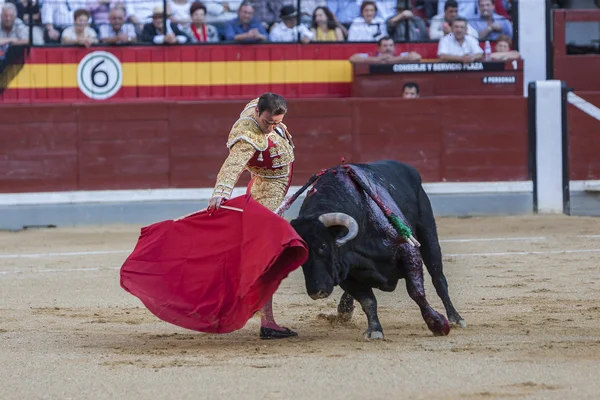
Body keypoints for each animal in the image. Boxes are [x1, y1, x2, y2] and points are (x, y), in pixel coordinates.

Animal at [288, 161, 466, 340]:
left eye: (323, 246)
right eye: (299, 253)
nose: (316, 291)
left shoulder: (408, 251)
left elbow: (416, 292)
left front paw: (438, 324)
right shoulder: (343, 272)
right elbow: (368, 301)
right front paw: (374, 330)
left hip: (428, 233)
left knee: (438, 278)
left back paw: (455, 318)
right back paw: (344, 310)